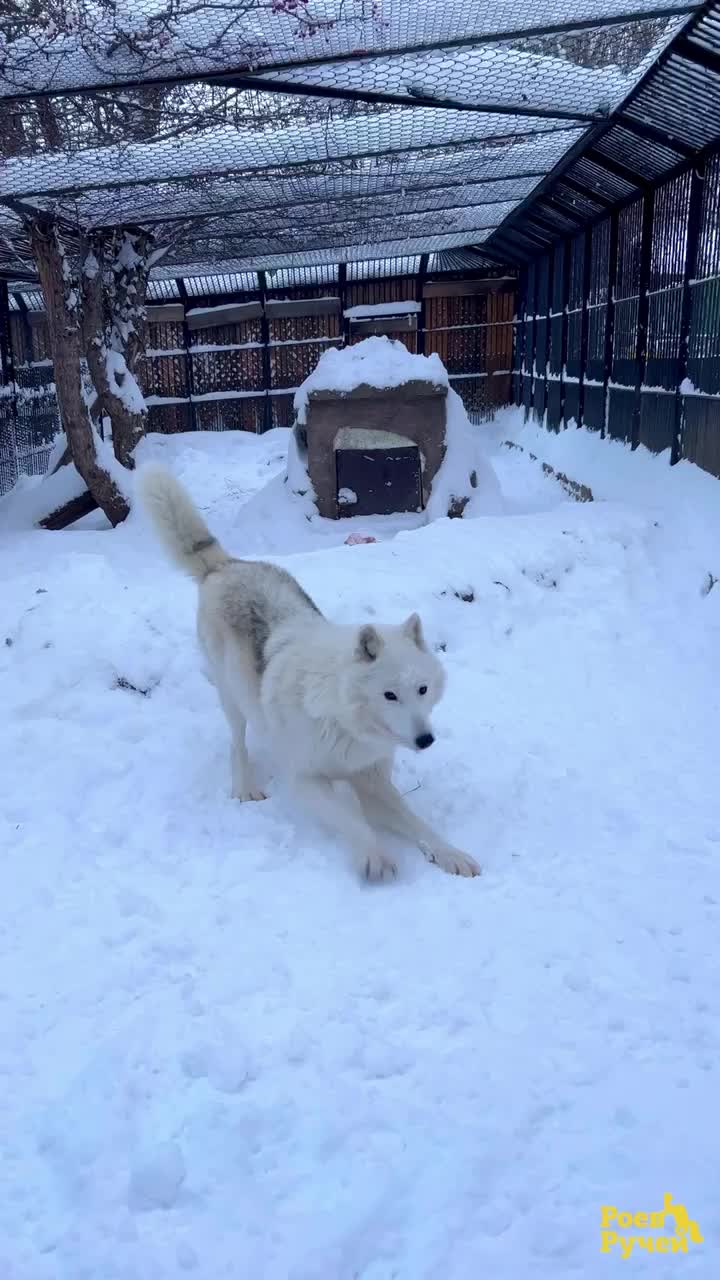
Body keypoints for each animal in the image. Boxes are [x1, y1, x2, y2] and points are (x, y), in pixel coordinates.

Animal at [139, 468, 476, 880]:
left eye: (423, 689)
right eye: (390, 695)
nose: (426, 740)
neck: (343, 722)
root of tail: (227, 565)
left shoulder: (372, 780)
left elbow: (420, 826)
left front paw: (451, 854)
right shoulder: (304, 780)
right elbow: (351, 819)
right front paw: (373, 856)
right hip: (231, 697)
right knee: (237, 742)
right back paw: (244, 786)